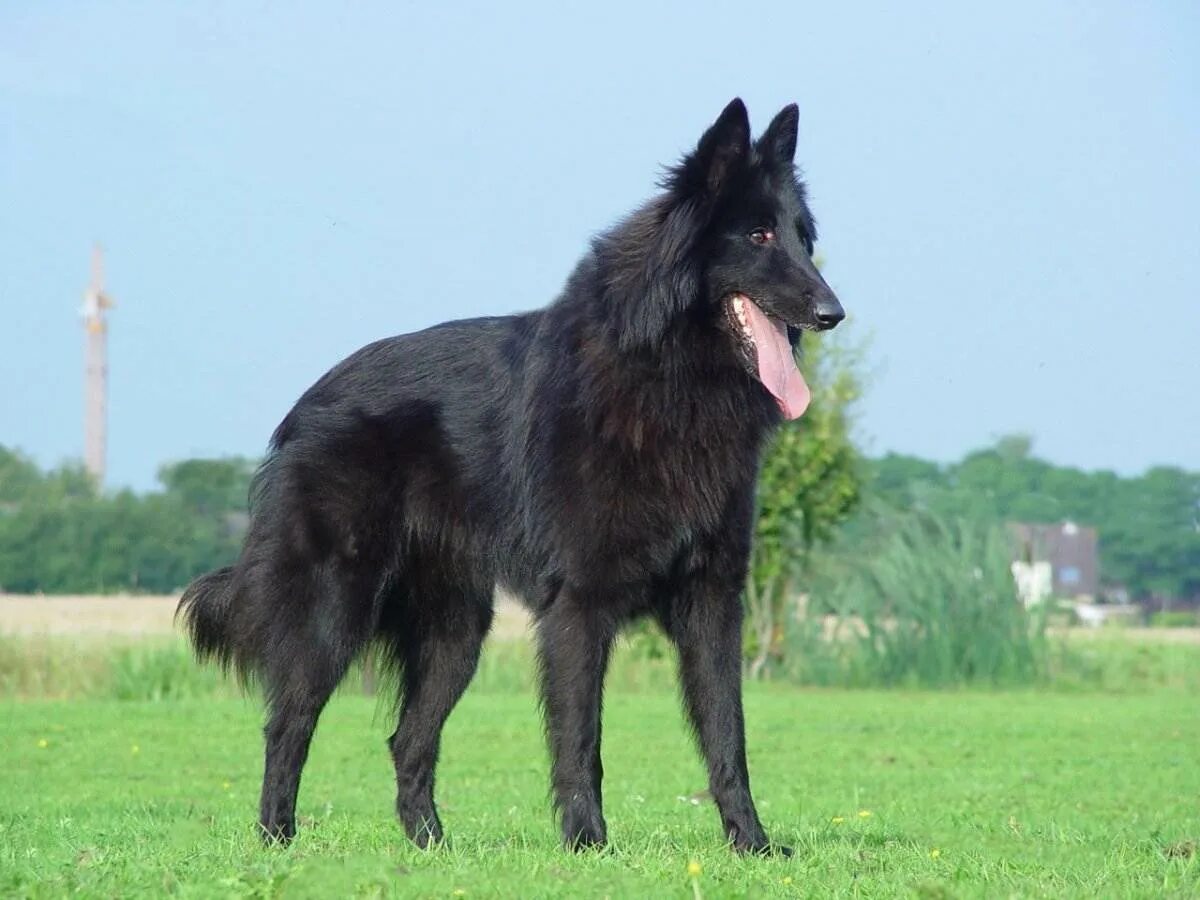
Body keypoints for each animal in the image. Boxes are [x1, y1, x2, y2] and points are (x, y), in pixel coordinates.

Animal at [182, 100, 849, 859]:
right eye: (760, 235)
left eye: (805, 239)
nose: (833, 313)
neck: (669, 377)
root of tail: (305, 405)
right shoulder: (581, 605)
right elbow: (581, 738)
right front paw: (587, 843)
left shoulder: (712, 600)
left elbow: (727, 734)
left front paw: (751, 843)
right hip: (333, 610)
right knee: (287, 723)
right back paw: (277, 839)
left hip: (457, 633)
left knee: (407, 739)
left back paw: (430, 847)